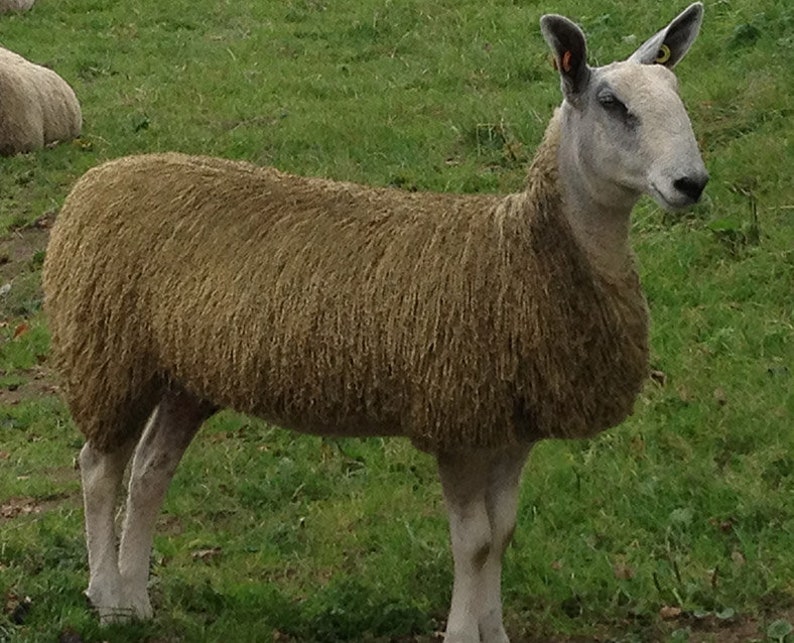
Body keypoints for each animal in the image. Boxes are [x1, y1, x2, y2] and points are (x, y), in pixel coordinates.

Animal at [41, 2, 704, 640]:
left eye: (677, 92)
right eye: (611, 104)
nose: (692, 183)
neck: (520, 250)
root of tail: (97, 179)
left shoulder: (514, 425)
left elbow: (503, 534)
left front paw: (493, 630)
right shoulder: (456, 419)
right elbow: (475, 542)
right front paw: (462, 632)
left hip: (185, 375)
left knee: (150, 471)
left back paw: (136, 599)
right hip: (109, 354)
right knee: (99, 469)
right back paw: (108, 599)